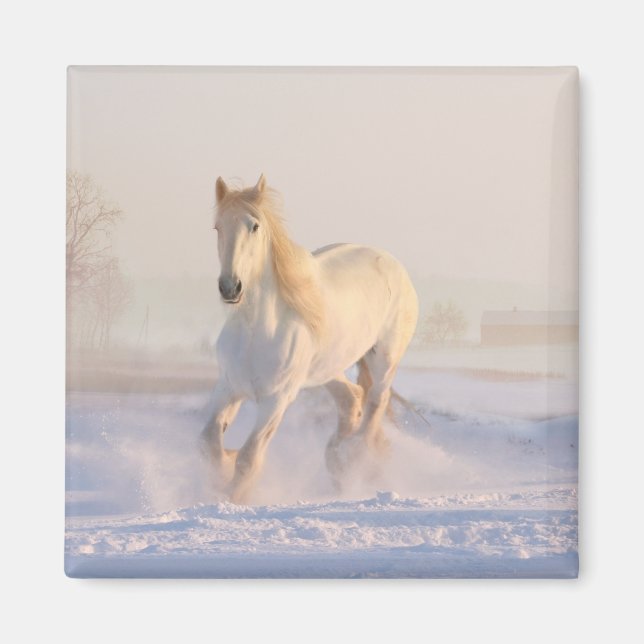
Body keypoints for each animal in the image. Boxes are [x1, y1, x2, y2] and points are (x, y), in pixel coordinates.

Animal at [200, 175, 419, 503]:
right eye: (218, 227)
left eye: (254, 226)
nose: (230, 287)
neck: (256, 331)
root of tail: (393, 264)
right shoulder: (228, 387)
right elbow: (210, 441)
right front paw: (224, 469)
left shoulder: (276, 399)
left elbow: (249, 457)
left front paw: (233, 496)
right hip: (327, 369)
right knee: (352, 398)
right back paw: (337, 459)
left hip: (384, 358)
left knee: (375, 403)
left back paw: (352, 459)